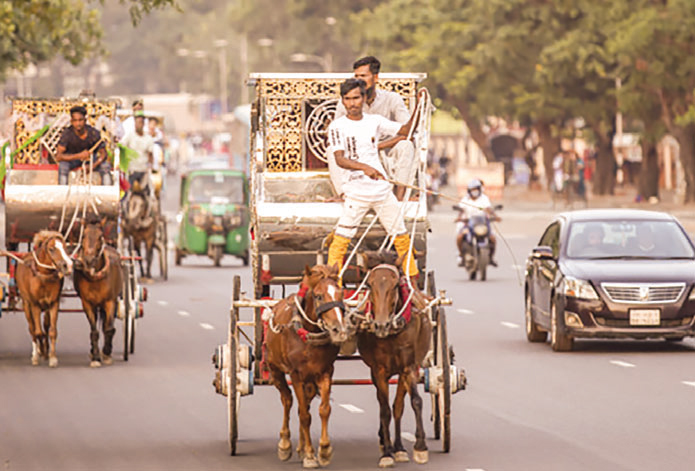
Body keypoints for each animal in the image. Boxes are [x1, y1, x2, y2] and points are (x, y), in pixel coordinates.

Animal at [14, 230, 73, 366]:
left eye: (65, 247)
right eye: (51, 249)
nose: (68, 265)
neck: (43, 276)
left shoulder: (53, 303)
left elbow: (52, 331)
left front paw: (52, 357)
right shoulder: (34, 304)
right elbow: (38, 332)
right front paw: (37, 354)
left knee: (45, 326)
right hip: (26, 304)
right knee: (32, 328)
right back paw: (37, 352)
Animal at [75, 218, 125, 368]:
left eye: (100, 237)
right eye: (83, 236)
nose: (89, 260)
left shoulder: (110, 301)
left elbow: (108, 328)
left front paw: (107, 353)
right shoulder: (87, 303)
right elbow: (94, 331)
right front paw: (96, 357)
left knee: (107, 326)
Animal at [266, 266, 354, 468]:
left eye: (341, 293)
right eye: (319, 296)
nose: (339, 330)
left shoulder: (325, 372)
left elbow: (323, 410)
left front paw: (323, 450)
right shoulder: (296, 374)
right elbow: (305, 416)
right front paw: (310, 456)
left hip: (310, 380)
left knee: (302, 404)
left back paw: (301, 448)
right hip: (275, 369)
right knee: (288, 400)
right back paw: (285, 443)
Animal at [356, 262, 432, 468]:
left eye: (395, 285)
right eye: (369, 285)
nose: (381, 325)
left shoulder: (408, 367)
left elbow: (413, 402)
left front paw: (419, 447)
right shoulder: (379, 370)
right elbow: (385, 410)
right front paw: (387, 453)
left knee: (398, 405)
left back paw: (398, 446)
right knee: (384, 404)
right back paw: (385, 441)